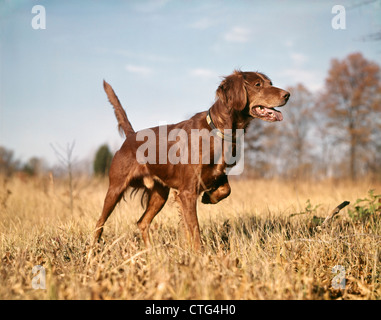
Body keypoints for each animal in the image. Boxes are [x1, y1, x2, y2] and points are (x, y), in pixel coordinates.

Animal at [94, 69, 288, 250]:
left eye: (270, 83)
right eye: (257, 85)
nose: (287, 95)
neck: (218, 129)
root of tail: (131, 137)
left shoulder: (216, 174)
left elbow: (226, 190)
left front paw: (209, 197)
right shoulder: (187, 192)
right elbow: (194, 229)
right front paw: (199, 255)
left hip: (159, 194)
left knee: (142, 222)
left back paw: (150, 253)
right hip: (115, 189)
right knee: (99, 223)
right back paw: (94, 250)